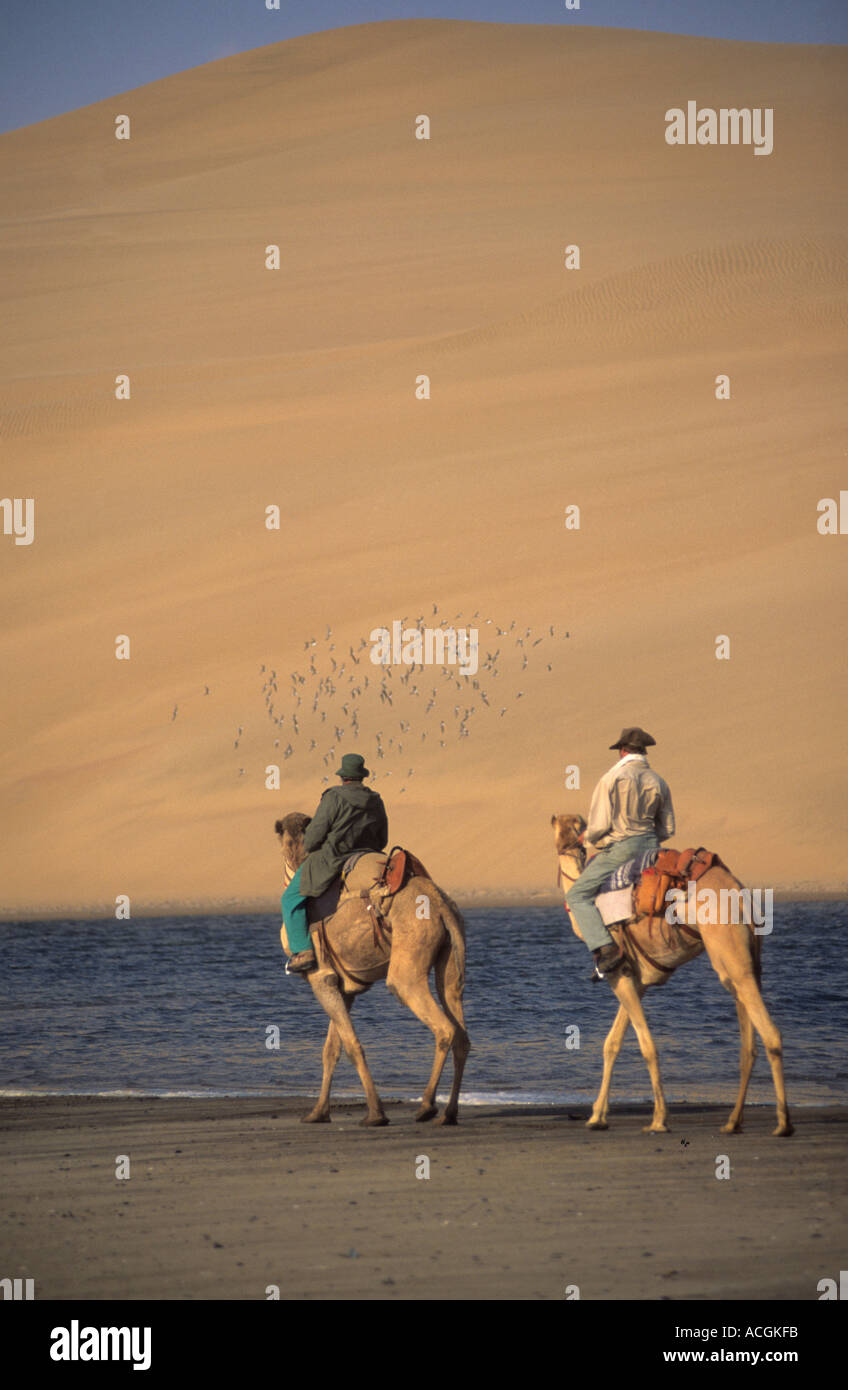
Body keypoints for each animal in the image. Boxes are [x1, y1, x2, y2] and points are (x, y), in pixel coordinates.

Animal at [273, 811, 469, 1128]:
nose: (293, 856)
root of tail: (441, 906)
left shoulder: (321, 978)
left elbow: (353, 1046)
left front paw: (376, 1113)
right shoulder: (344, 987)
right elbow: (332, 1050)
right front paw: (317, 1112)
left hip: (406, 970)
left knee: (443, 1028)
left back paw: (426, 1106)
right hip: (451, 960)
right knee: (461, 1031)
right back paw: (448, 1113)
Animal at [550, 811, 789, 1134]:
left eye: (576, 824)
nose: (568, 838)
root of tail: (741, 897)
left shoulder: (617, 973)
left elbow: (646, 1046)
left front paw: (658, 1119)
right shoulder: (636, 978)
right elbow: (612, 1043)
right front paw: (597, 1116)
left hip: (729, 952)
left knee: (769, 1033)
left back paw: (783, 1124)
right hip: (748, 957)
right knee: (747, 1046)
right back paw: (733, 1121)